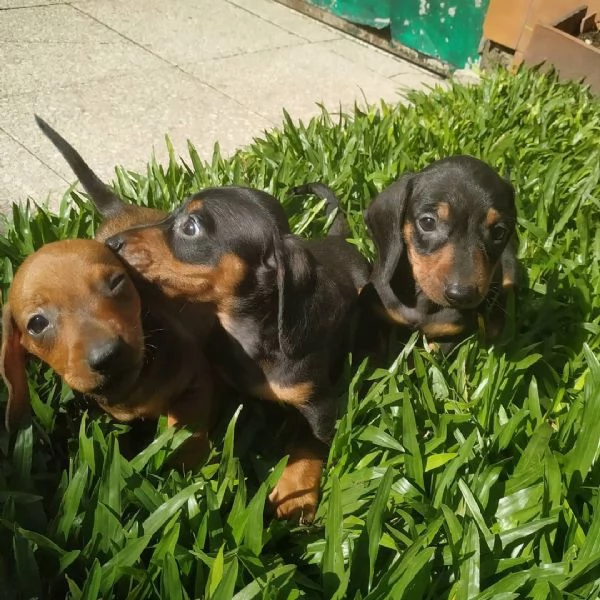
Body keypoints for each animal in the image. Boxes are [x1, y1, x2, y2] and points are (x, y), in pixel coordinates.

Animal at [106, 182, 370, 520]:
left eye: (190, 227)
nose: (111, 244)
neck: (248, 336)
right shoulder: (217, 378)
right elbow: (194, 413)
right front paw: (187, 454)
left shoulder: (319, 405)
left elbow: (308, 444)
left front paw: (295, 494)